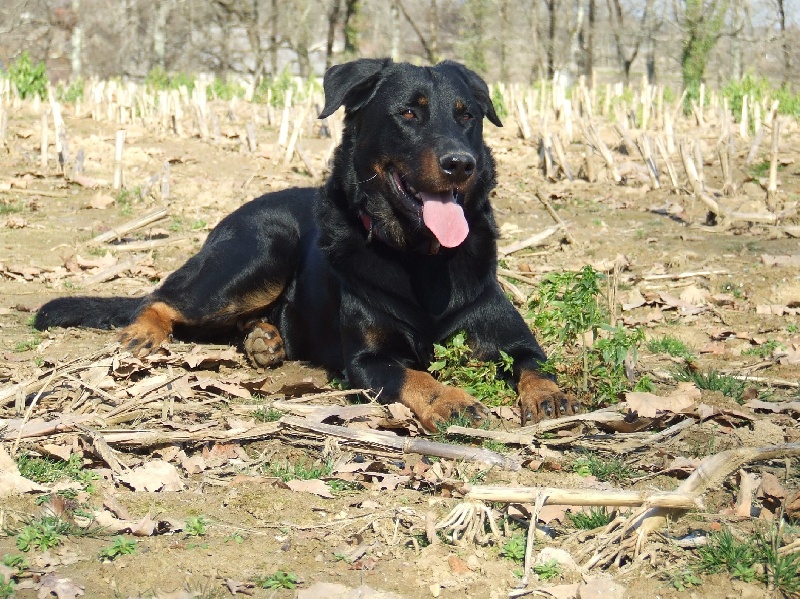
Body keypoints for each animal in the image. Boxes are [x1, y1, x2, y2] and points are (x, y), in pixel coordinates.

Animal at [34, 58, 572, 428]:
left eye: (468, 117)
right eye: (408, 114)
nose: (461, 163)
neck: (419, 259)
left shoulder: (513, 339)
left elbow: (534, 364)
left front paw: (548, 395)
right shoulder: (368, 362)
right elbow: (417, 376)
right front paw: (454, 400)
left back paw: (264, 338)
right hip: (261, 251)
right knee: (161, 298)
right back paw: (147, 332)